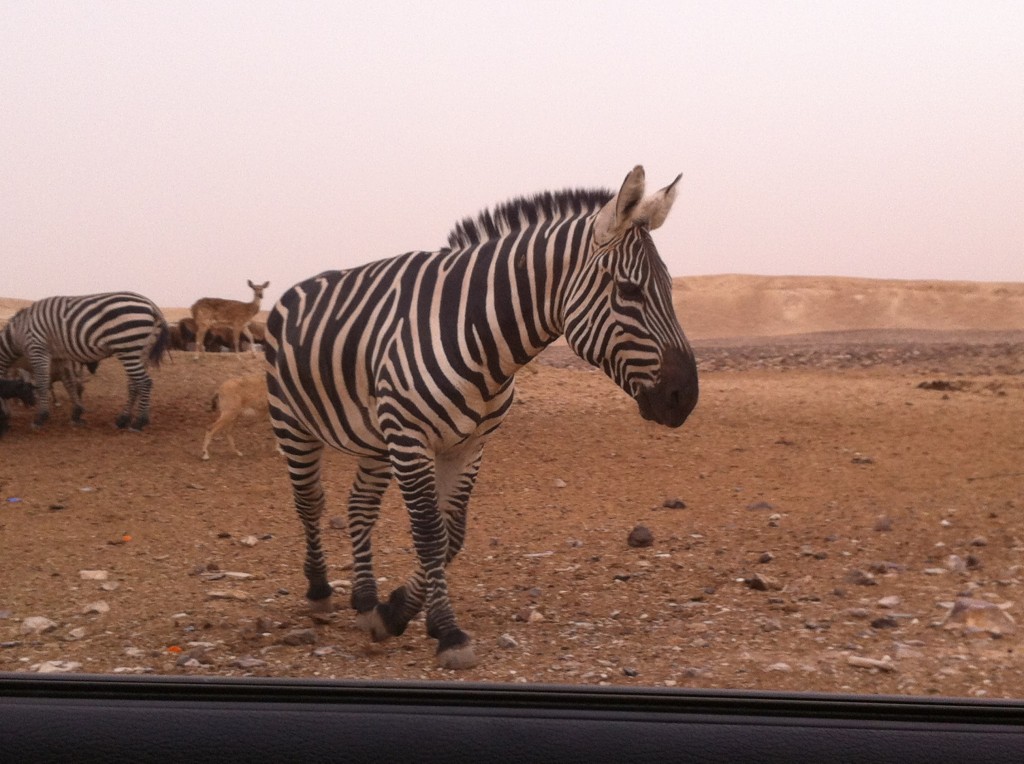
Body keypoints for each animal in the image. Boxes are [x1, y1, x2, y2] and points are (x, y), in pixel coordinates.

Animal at [0, 290, 169, 428]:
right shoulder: (59, 357)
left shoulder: (37, 348)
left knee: (145, 382)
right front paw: (76, 413)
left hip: (128, 347)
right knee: (134, 384)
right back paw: (123, 419)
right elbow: (69, 383)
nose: (5, 420)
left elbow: (42, 383)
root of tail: (151, 304)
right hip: (141, 351)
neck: (17, 334)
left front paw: (40, 417)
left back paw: (139, 422)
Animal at [264, 164, 700, 667]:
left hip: (373, 435)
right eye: (629, 290)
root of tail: (296, 287)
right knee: (309, 502)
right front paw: (448, 633)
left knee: (359, 507)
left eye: (670, 288)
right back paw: (319, 592)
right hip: (292, 423)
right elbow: (430, 534)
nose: (685, 397)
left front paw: (395, 612)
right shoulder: (411, 439)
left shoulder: (470, 443)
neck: (479, 334)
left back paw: (365, 596)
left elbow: (452, 534)